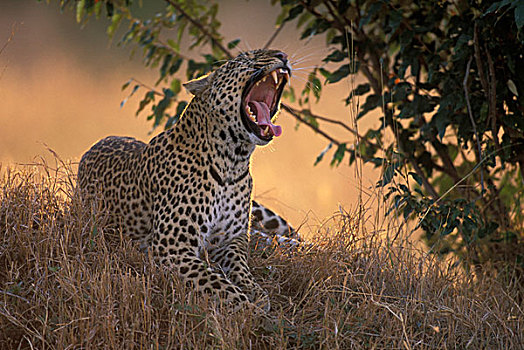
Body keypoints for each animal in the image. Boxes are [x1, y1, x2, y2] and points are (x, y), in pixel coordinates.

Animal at [78, 47, 298, 310]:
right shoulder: (173, 248)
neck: (233, 162)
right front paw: (251, 309)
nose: (283, 55)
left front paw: (257, 293)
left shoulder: (231, 240)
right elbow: (219, 284)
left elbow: (241, 269)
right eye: (245, 58)